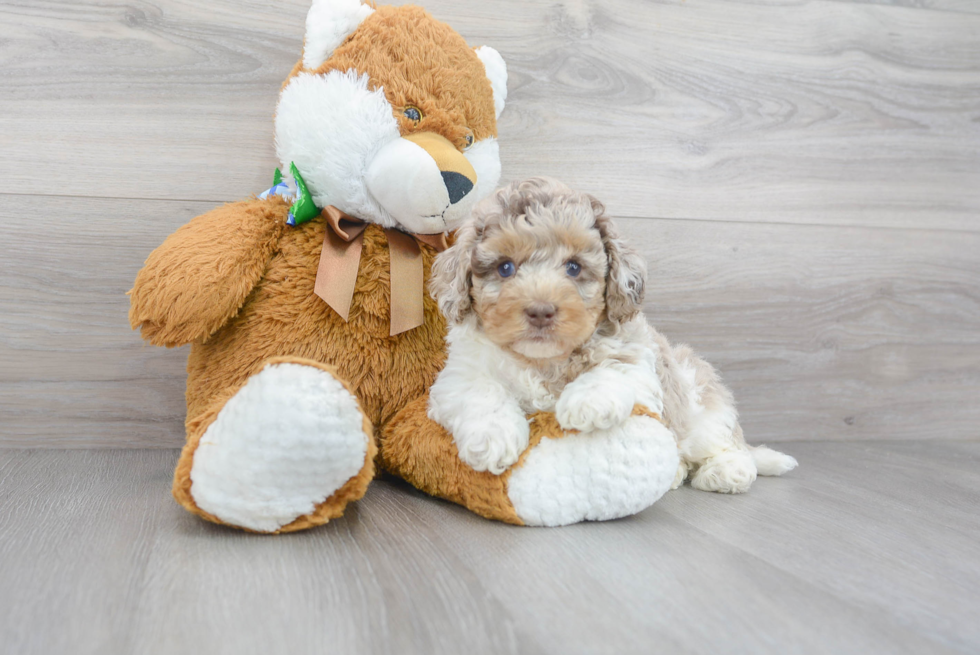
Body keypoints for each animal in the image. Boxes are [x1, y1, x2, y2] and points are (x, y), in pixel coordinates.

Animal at [426, 177, 796, 494]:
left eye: (574, 267)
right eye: (505, 268)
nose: (541, 311)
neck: (544, 360)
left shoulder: (638, 357)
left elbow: (614, 368)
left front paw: (586, 402)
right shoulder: (459, 374)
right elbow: (480, 391)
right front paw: (492, 439)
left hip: (700, 403)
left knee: (726, 443)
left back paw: (726, 470)